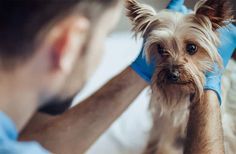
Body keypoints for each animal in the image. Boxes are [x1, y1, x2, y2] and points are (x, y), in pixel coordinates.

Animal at [126, 0, 233, 153]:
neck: (180, 94)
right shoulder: (164, 121)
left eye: (192, 48)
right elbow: (161, 141)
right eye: (160, 48)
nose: (173, 74)